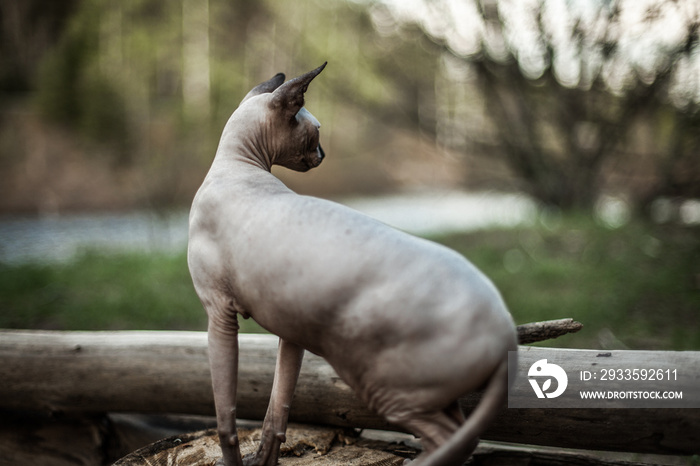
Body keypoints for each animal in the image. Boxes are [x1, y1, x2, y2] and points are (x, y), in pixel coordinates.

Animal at [189, 62, 516, 466]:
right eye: (315, 132)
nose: (324, 153)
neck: (236, 165)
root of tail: (506, 328)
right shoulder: (289, 328)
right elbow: (277, 409)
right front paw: (265, 460)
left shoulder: (219, 314)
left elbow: (226, 419)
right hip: (430, 390)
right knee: (460, 436)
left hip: (381, 382)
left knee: (450, 437)